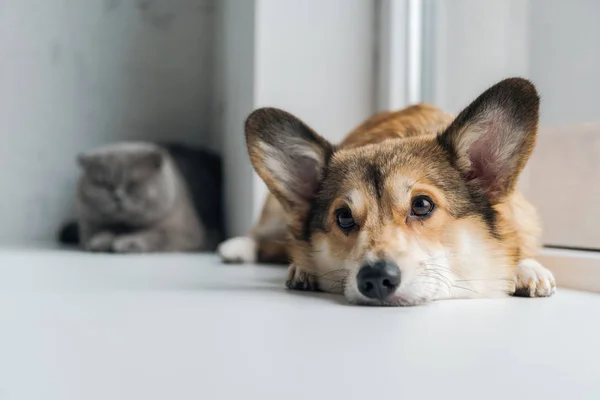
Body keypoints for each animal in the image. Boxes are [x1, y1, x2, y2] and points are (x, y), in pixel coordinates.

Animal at [59, 141, 224, 253]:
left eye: (133, 184)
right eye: (105, 185)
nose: (117, 197)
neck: (126, 226)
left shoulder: (185, 233)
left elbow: (155, 235)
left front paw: (128, 243)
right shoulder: (88, 226)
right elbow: (101, 232)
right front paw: (100, 242)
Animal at [218, 77, 556, 306]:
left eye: (422, 205)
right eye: (343, 217)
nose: (375, 279)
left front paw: (527, 270)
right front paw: (304, 268)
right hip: (277, 213)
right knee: (262, 235)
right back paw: (242, 249)